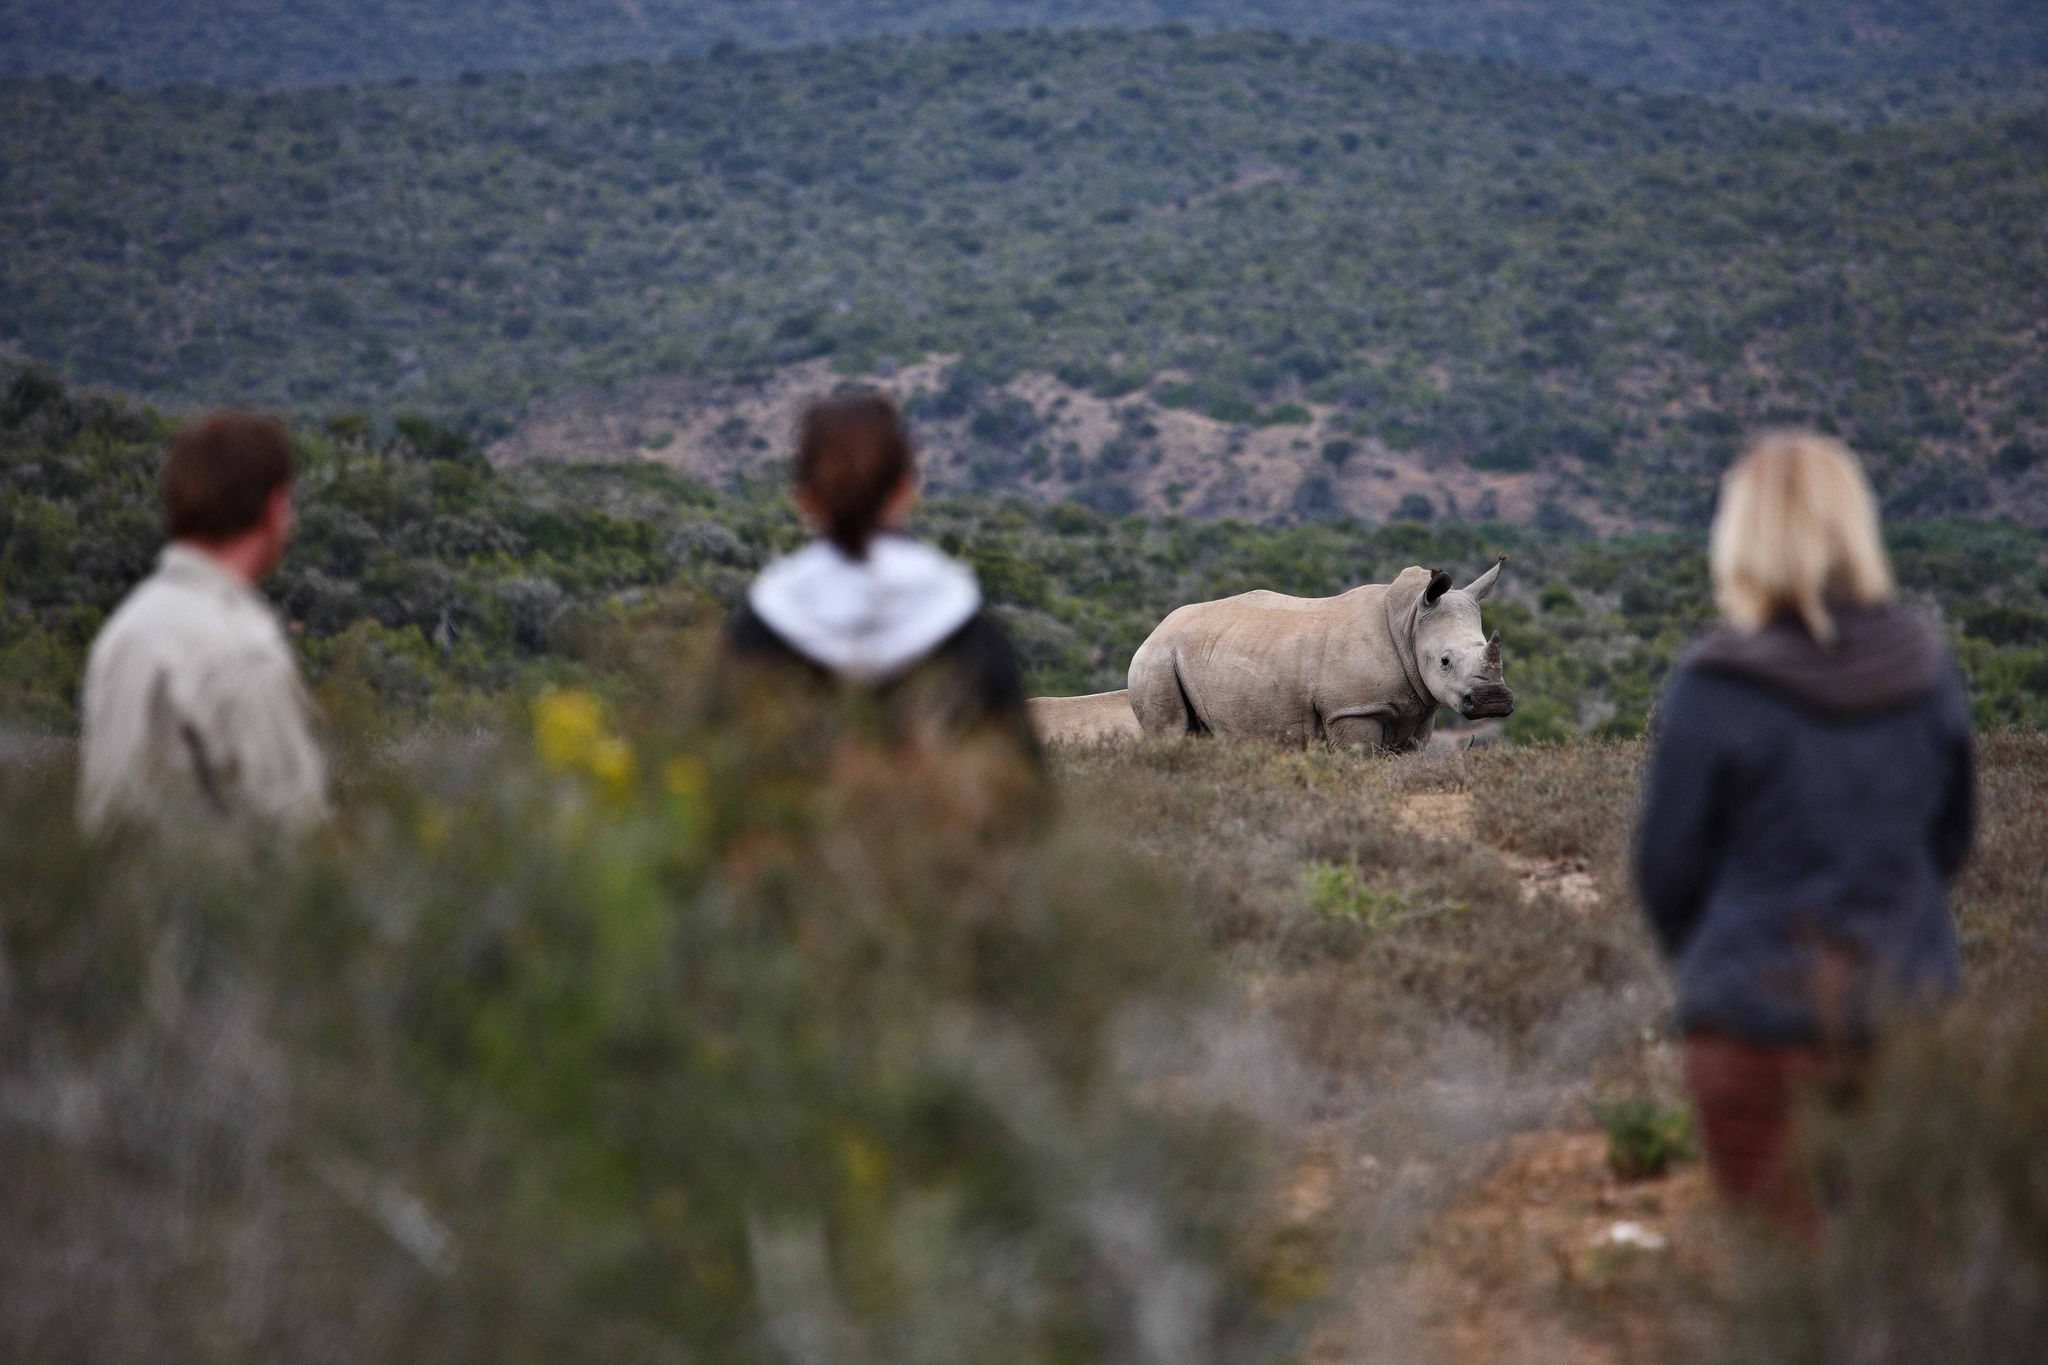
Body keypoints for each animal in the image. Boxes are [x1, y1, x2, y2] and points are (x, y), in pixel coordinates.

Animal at [1032, 564, 1515, 757]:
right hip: (1156, 659)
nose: (1494, 701)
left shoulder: (1416, 707)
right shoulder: (1352, 709)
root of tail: (1154, 630)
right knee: (1169, 733)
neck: (1409, 621)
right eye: (1445, 661)